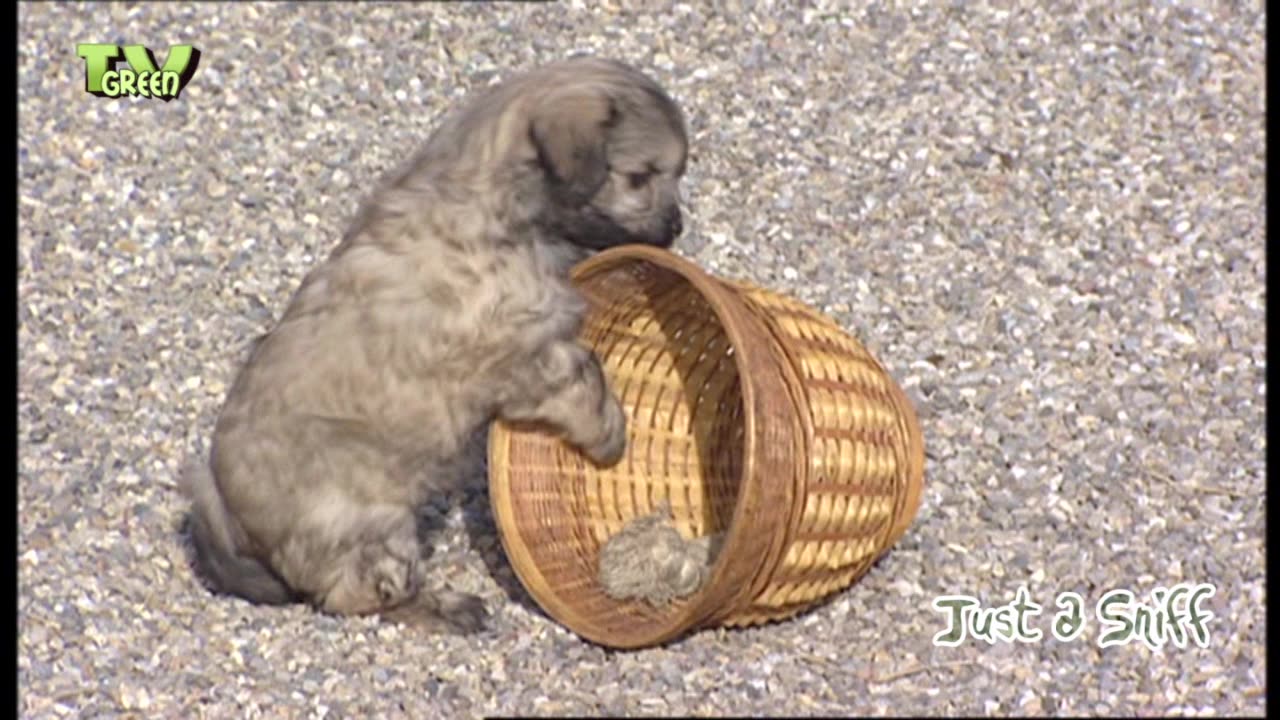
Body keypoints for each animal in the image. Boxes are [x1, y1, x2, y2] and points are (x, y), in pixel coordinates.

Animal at [183, 56, 691, 630]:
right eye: (639, 177)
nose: (677, 226)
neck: (498, 204)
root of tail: (227, 512)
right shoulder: (518, 354)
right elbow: (585, 376)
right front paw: (610, 435)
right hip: (372, 528)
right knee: (354, 596)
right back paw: (447, 608)